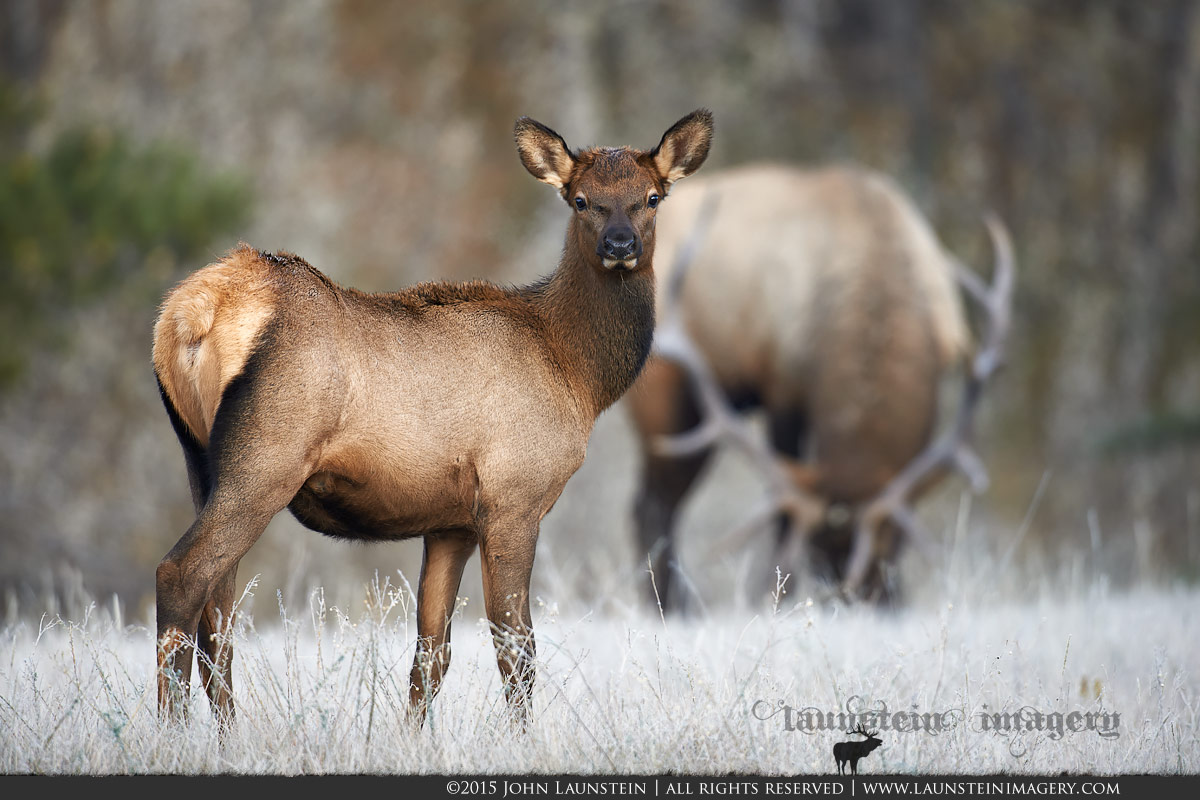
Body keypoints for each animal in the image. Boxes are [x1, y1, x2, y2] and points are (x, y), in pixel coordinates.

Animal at [150, 109, 713, 727]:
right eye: (581, 199)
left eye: (652, 197)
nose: (620, 244)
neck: (577, 371)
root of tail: (190, 313)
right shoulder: (513, 498)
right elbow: (516, 648)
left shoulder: (450, 523)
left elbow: (431, 656)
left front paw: (411, 736)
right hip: (266, 457)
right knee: (182, 576)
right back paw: (173, 732)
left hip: (199, 460)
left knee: (219, 611)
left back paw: (228, 733)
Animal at [627, 163, 1014, 609]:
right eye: (815, 553)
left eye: (886, 550)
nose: (853, 601)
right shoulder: (783, 387)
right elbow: (782, 513)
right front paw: (776, 597)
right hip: (667, 401)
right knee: (653, 506)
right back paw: (673, 608)